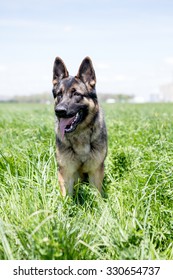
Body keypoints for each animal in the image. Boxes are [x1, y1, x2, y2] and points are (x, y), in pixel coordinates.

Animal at [52, 56, 107, 196]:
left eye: (76, 94)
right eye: (59, 94)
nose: (59, 111)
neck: (80, 134)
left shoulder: (95, 171)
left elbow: (97, 196)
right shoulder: (66, 172)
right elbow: (66, 197)